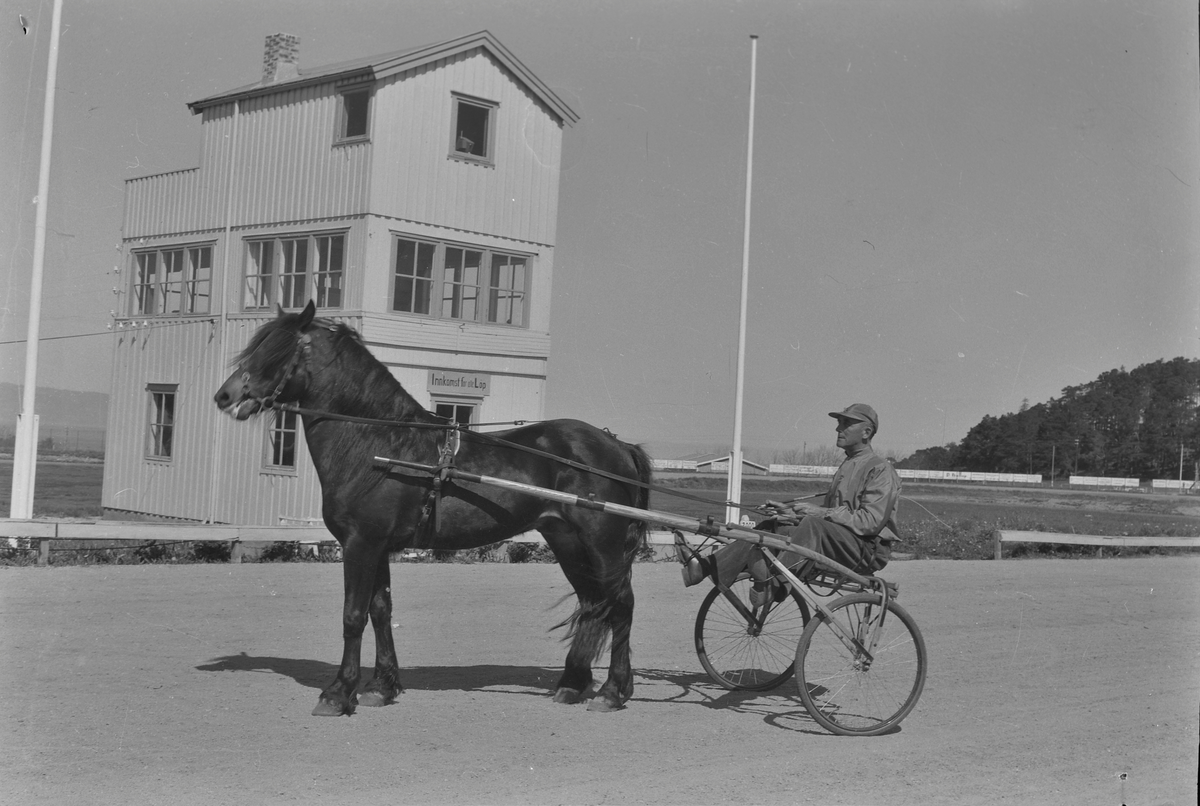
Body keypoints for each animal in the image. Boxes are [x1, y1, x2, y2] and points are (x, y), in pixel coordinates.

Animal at [211, 303, 652, 719]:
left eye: (275, 351)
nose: (224, 396)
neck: (379, 444)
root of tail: (616, 445)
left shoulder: (360, 544)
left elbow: (353, 616)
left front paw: (338, 694)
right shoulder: (376, 547)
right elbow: (380, 611)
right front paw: (381, 687)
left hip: (602, 543)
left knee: (622, 605)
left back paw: (613, 691)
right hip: (567, 542)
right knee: (594, 603)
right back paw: (574, 685)